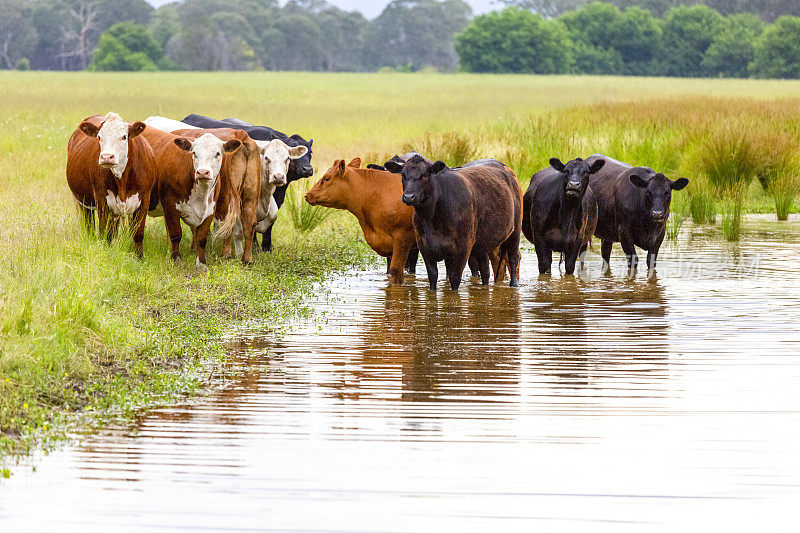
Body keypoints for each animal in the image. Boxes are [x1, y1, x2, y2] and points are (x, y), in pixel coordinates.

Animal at [68, 111, 159, 256]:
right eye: (99, 137)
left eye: (124, 137)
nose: (106, 157)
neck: (122, 180)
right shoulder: (101, 199)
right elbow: (105, 233)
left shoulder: (144, 199)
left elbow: (138, 234)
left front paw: (139, 258)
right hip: (84, 203)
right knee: (90, 226)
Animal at [143, 126, 244, 268]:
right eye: (194, 153)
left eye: (217, 153)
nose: (202, 172)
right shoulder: (171, 205)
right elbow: (176, 234)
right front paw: (176, 260)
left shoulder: (210, 210)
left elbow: (201, 238)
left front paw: (201, 264)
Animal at [386, 154, 520, 290]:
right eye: (403, 174)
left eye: (425, 174)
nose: (409, 196)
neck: (433, 220)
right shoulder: (424, 246)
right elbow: (433, 276)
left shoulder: (463, 247)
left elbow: (454, 278)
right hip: (482, 243)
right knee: (485, 271)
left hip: (515, 230)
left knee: (513, 257)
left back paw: (514, 284)